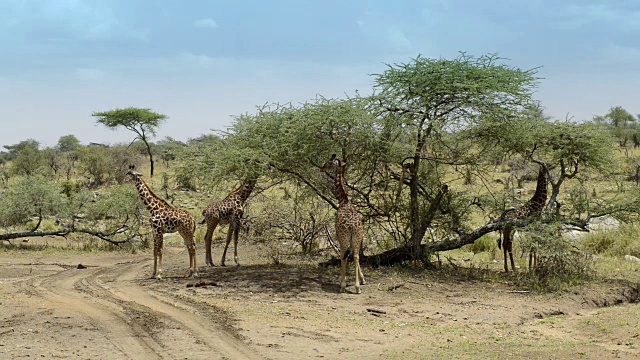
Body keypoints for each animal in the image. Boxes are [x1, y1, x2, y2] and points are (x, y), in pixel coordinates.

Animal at [320, 154, 364, 292]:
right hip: (357, 237)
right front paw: (362, 279)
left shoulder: (339, 236)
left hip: (344, 238)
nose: (321, 168)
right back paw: (357, 287)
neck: (343, 200)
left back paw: (344, 286)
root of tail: (352, 227)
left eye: (329, 163)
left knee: (344, 256)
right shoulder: (357, 239)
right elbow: (354, 256)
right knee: (356, 256)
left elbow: (342, 256)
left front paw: (341, 280)